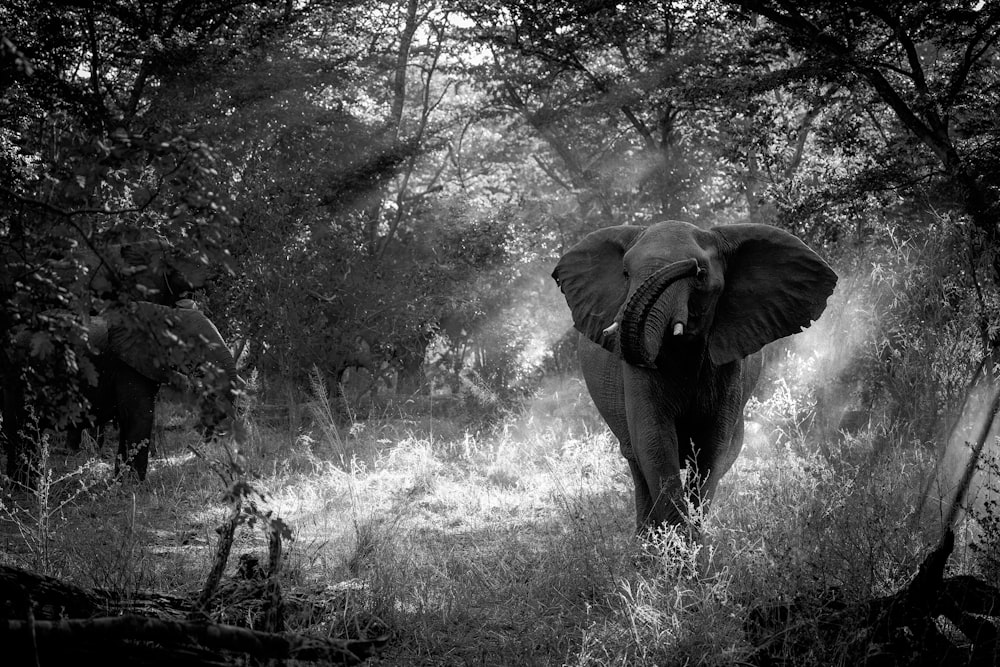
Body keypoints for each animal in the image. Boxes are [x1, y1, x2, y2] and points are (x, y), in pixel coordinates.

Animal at [552, 222, 840, 536]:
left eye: (701, 275)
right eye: (626, 274)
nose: (689, 265)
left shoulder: (730, 367)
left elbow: (710, 450)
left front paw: (695, 543)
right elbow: (654, 441)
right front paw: (678, 544)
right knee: (635, 460)